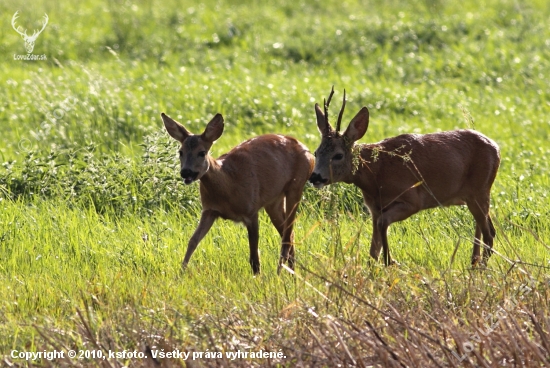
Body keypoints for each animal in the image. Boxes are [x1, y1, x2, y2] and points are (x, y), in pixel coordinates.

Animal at [162, 113, 314, 274]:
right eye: (180, 152)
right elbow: (193, 241)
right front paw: (181, 271)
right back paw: (291, 273)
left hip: (296, 186)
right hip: (274, 201)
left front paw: (257, 277)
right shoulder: (209, 210)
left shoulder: (251, 211)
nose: (186, 172)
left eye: (202, 152)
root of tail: (309, 152)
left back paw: (281, 273)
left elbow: (254, 256)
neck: (229, 184)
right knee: (289, 233)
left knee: (287, 235)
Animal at [312, 87, 502, 266]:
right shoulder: (374, 208)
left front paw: (391, 262)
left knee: (490, 232)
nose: (315, 177)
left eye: (338, 155)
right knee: (481, 228)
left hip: (480, 190)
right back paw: (474, 262)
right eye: (315, 152)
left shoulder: (412, 200)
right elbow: (373, 250)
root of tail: (496, 148)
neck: (376, 174)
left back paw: (481, 267)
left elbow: (382, 225)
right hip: (474, 195)